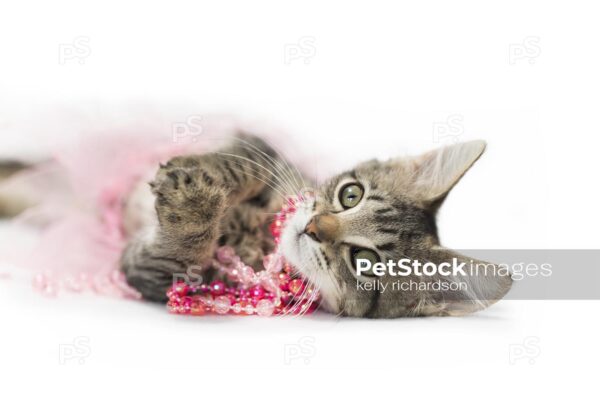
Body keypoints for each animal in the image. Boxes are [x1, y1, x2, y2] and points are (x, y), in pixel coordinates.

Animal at [120, 136, 510, 318]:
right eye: (351, 194)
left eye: (365, 261)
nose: (314, 226)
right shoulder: (261, 148)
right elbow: (241, 165)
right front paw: (195, 186)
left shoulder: (159, 275)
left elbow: (181, 251)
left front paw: (191, 205)